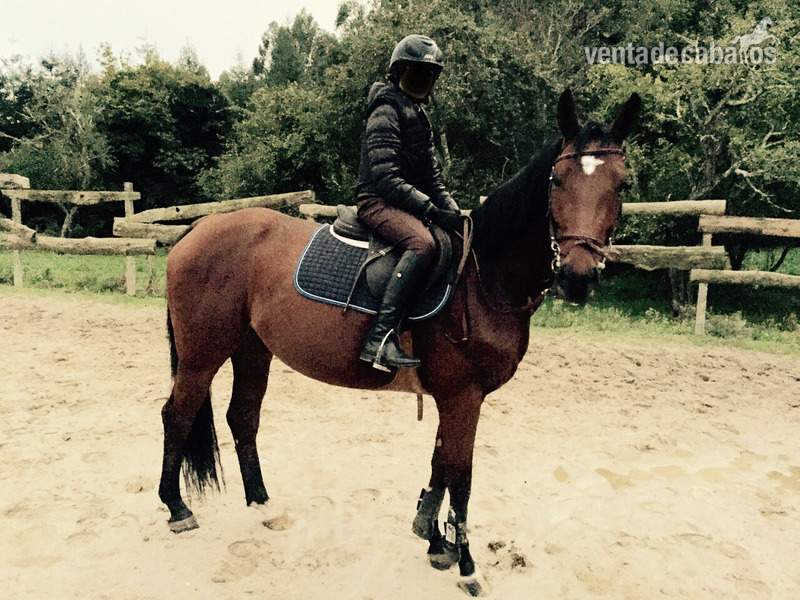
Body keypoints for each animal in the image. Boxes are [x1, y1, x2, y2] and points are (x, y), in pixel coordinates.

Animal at [158, 88, 641, 596]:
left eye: (622, 185)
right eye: (557, 181)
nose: (578, 277)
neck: (481, 277)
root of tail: (201, 226)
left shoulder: (453, 396)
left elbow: (439, 464)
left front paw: (433, 540)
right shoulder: (463, 396)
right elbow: (461, 476)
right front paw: (467, 566)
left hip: (252, 349)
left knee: (243, 418)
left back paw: (263, 505)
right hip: (202, 356)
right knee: (177, 415)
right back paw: (177, 509)